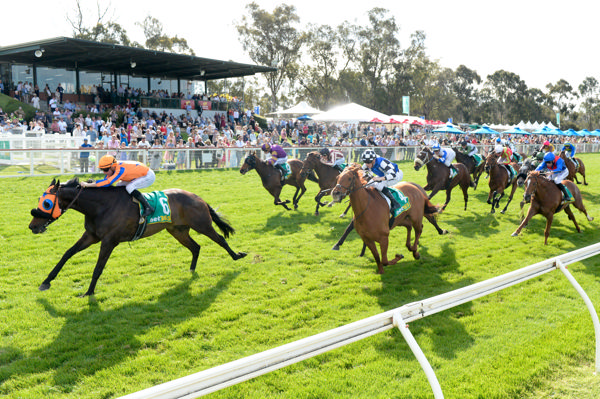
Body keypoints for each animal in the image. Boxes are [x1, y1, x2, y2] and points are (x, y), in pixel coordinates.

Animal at [27, 178, 248, 296]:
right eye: (40, 200)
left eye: (46, 203)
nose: (32, 226)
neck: (100, 206)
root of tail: (197, 197)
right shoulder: (91, 235)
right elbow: (67, 253)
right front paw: (46, 281)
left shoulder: (109, 241)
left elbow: (98, 267)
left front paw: (88, 292)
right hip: (177, 230)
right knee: (196, 247)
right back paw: (191, 270)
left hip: (202, 224)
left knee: (220, 239)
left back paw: (237, 255)